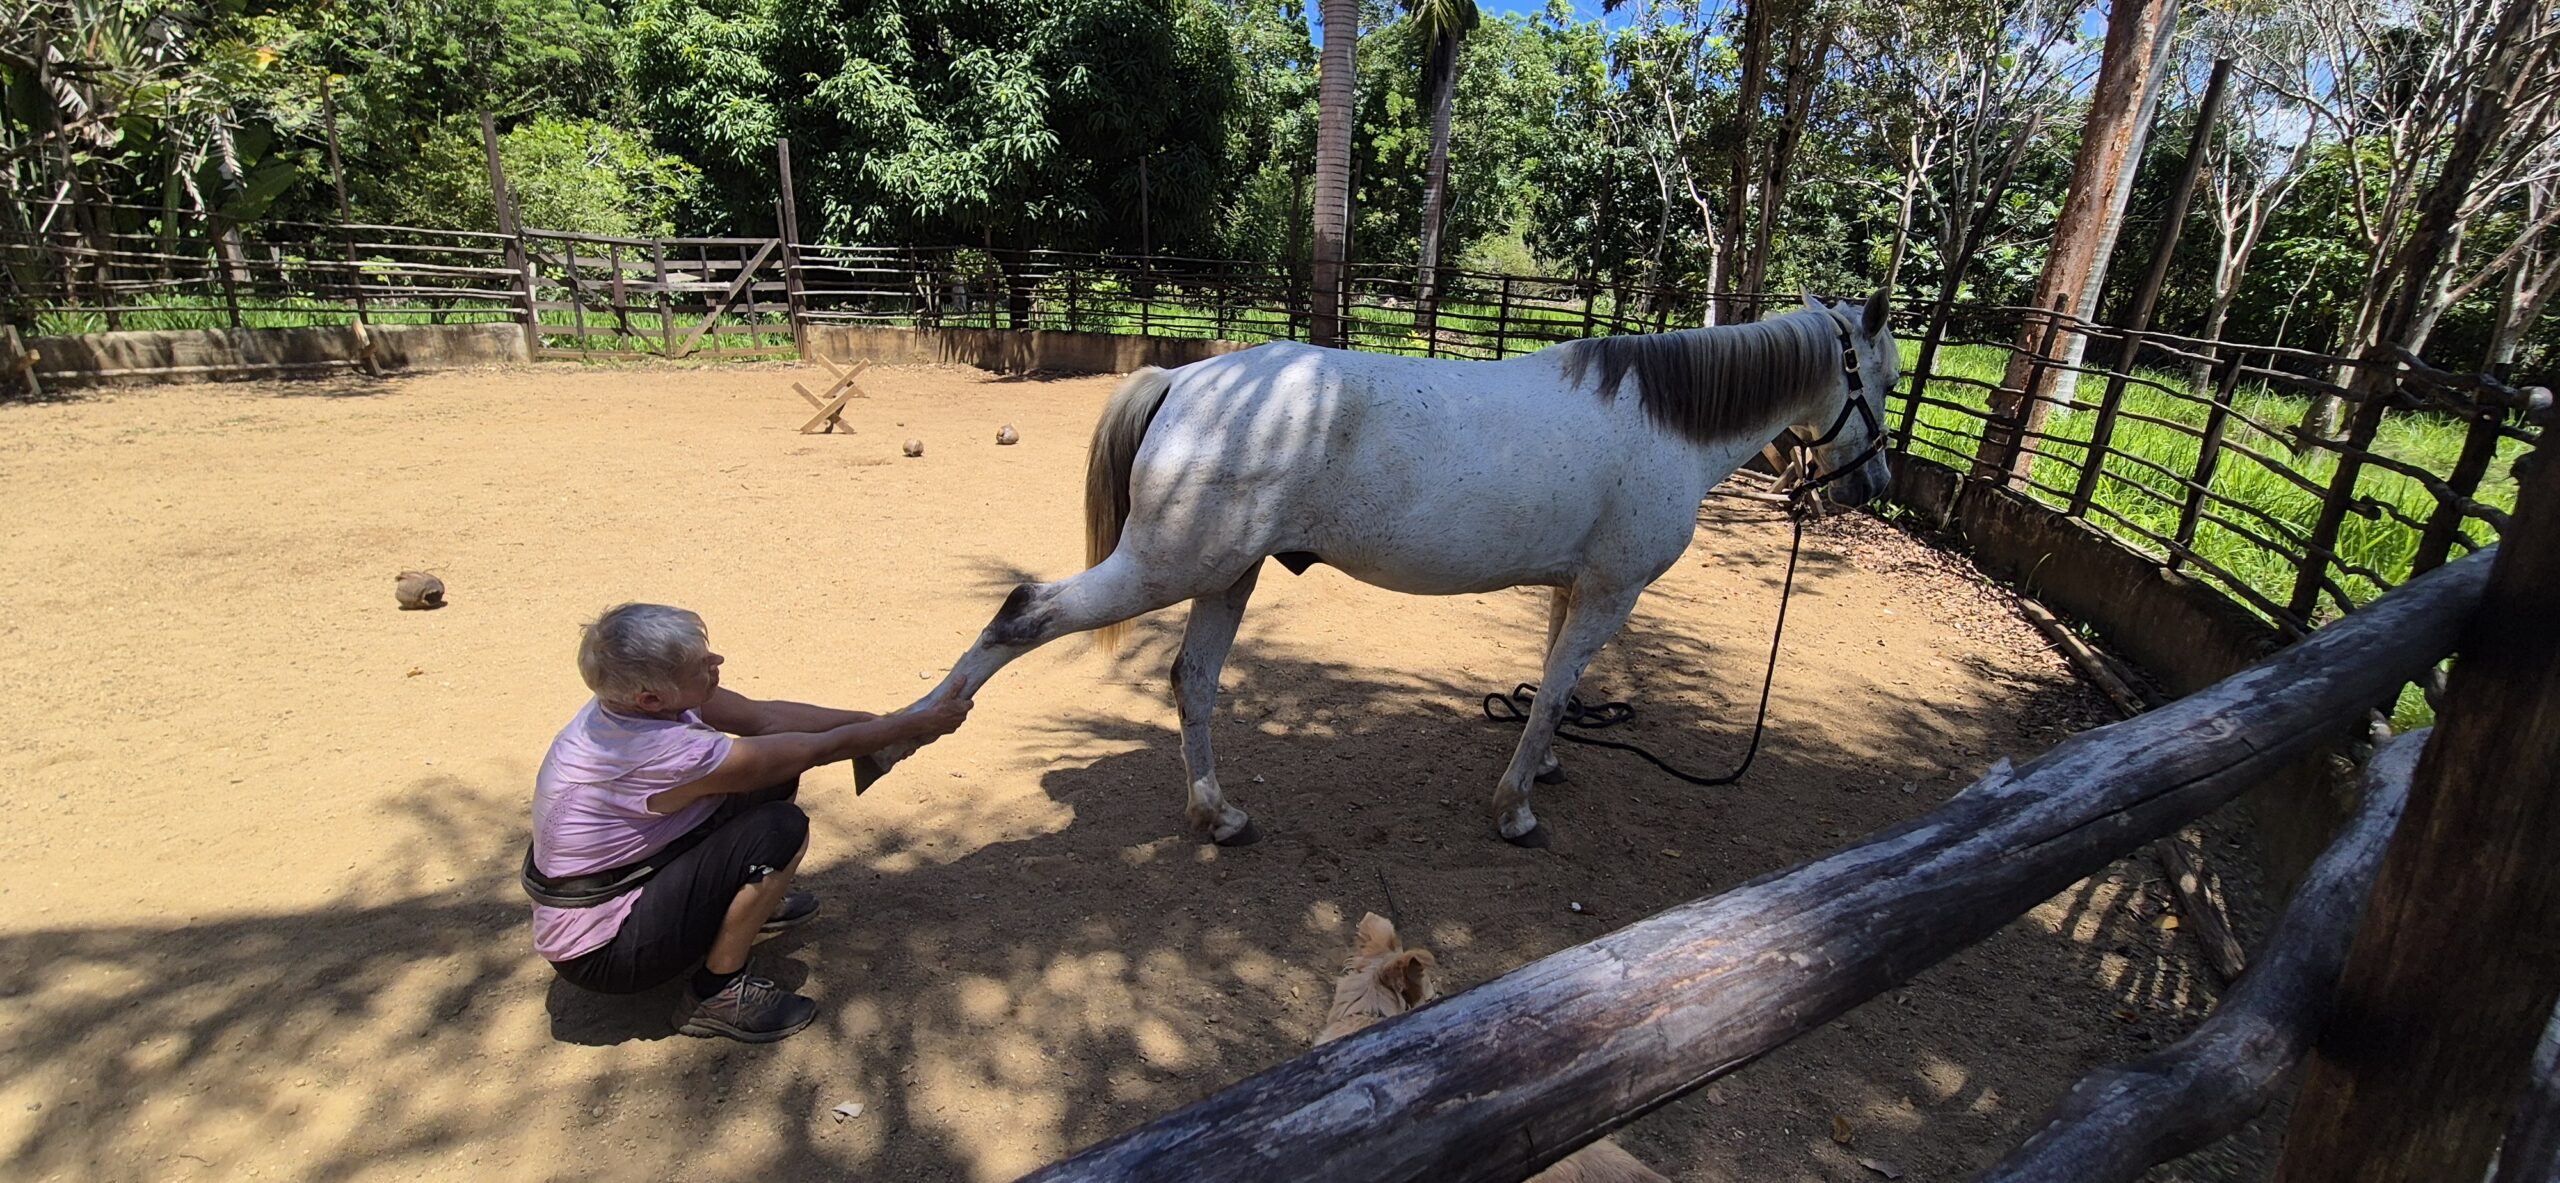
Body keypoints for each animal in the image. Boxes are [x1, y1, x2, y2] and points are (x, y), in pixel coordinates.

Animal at [859, 291, 1898, 846]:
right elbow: (1559, 688)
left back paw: (1219, 814)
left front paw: (1546, 764)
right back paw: (897, 737)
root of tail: (1187, 378)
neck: (1663, 421)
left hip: (1226, 577)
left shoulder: (1575, 586)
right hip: (1168, 567)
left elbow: (1557, 682)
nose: (1871, 484)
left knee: (1192, 680)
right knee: (1022, 611)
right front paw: (1515, 809)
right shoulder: (1612, 590)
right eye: (1882, 378)